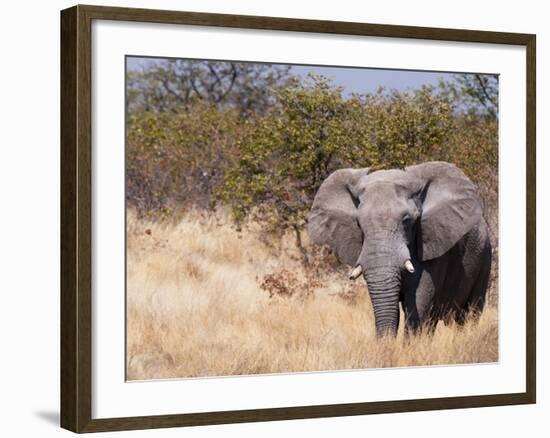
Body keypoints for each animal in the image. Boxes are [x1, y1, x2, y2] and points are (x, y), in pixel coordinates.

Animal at [308, 163, 494, 338]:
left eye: (407, 220)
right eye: (359, 223)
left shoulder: (432, 244)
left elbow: (418, 302)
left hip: (485, 257)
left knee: (469, 313)